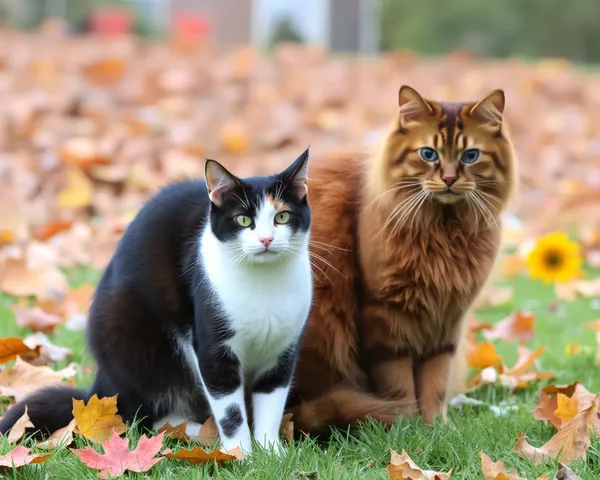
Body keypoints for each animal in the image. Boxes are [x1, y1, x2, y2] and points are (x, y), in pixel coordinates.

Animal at [0, 149, 312, 454]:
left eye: (282, 217)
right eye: (243, 220)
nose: (266, 240)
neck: (264, 283)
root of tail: (101, 387)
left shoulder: (283, 349)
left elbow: (272, 401)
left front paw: (270, 452)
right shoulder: (212, 345)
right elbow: (229, 409)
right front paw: (240, 454)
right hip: (133, 340)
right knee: (142, 416)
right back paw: (197, 433)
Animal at [286, 84, 516, 434]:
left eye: (470, 156)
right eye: (428, 154)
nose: (449, 179)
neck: (443, 233)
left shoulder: (447, 322)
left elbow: (435, 385)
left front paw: (436, 428)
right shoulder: (384, 318)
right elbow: (399, 385)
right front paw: (408, 427)